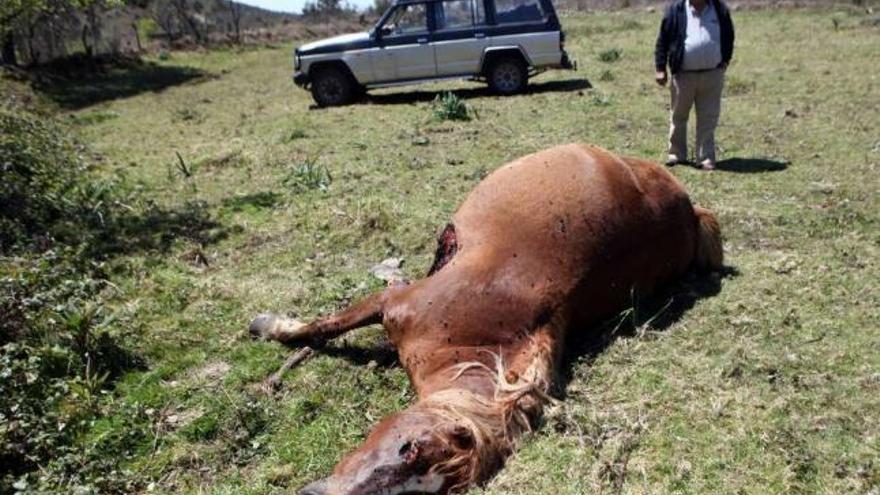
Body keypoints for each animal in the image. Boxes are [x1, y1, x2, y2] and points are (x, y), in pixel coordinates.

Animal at [248, 143, 720, 495]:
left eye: (427, 483)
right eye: (406, 447)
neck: (466, 339)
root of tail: (690, 210)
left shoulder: (395, 304)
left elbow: (323, 325)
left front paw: (269, 326)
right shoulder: (393, 302)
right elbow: (325, 324)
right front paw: (267, 326)